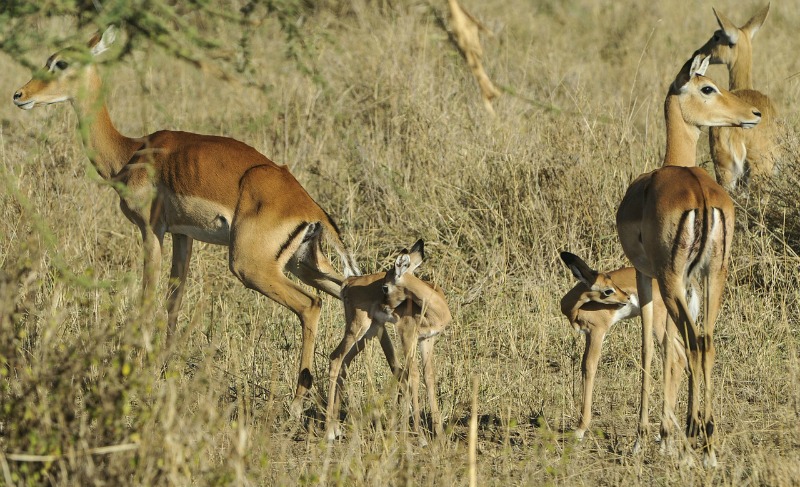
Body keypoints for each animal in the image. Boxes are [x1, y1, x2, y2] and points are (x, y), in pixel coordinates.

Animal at [12, 27, 360, 417]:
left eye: (60, 62)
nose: (19, 95)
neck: (129, 153)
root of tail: (309, 208)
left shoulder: (151, 231)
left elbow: (147, 298)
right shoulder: (183, 236)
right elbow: (173, 302)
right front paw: (164, 370)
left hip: (251, 267)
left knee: (311, 305)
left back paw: (298, 401)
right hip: (304, 264)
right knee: (354, 294)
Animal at [326, 240, 452, 442]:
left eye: (385, 286)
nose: (385, 306)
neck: (434, 307)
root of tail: (348, 282)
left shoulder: (427, 340)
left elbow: (429, 377)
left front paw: (439, 434)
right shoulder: (407, 336)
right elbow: (413, 376)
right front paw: (420, 435)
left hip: (368, 333)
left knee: (345, 361)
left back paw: (337, 428)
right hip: (357, 328)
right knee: (336, 358)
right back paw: (329, 431)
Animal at [559, 252, 689, 445]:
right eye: (608, 289)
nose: (627, 298)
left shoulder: (597, 332)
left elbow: (589, 367)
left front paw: (580, 429)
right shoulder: (589, 335)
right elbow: (583, 367)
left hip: (658, 324)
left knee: (675, 358)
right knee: (681, 355)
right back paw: (663, 433)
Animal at [616, 54, 761, 466]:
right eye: (707, 87)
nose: (754, 114)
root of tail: (700, 193)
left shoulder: (646, 275)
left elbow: (652, 347)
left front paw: (649, 437)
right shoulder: (690, 280)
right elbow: (672, 347)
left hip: (671, 279)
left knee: (691, 341)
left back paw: (693, 436)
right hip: (714, 276)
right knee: (706, 341)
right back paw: (708, 442)